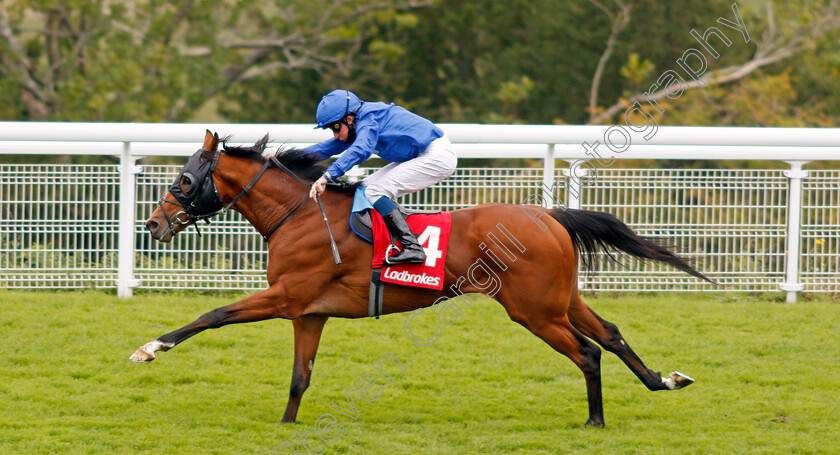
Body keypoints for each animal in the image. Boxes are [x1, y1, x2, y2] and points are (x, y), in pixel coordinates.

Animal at [135, 131, 712, 428]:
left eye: (185, 178)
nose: (153, 224)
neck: (298, 214)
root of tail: (549, 216)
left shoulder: (285, 296)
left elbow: (213, 314)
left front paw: (149, 348)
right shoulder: (310, 311)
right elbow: (301, 376)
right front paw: (287, 425)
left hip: (534, 310)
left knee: (588, 352)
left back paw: (595, 421)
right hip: (560, 300)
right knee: (610, 334)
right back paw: (663, 380)